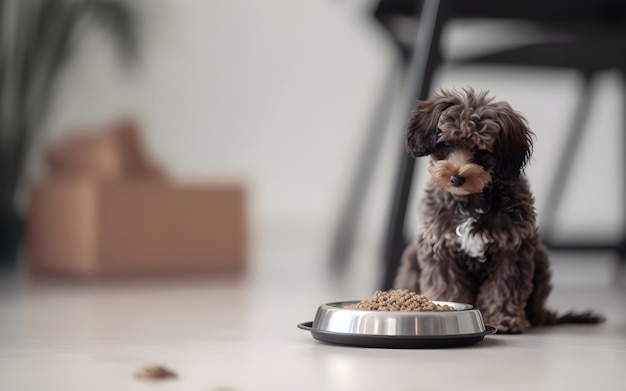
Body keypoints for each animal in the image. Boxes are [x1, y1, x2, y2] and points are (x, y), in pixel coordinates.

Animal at [392, 88, 604, 334]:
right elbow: (448, 286)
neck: (471, 201)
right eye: (445, 144)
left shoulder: (511, 251)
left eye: (482, 150)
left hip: (539, 257)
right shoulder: (441, 249)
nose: (456, 178)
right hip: (412, 257)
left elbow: (504, 288)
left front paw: (502, 319)